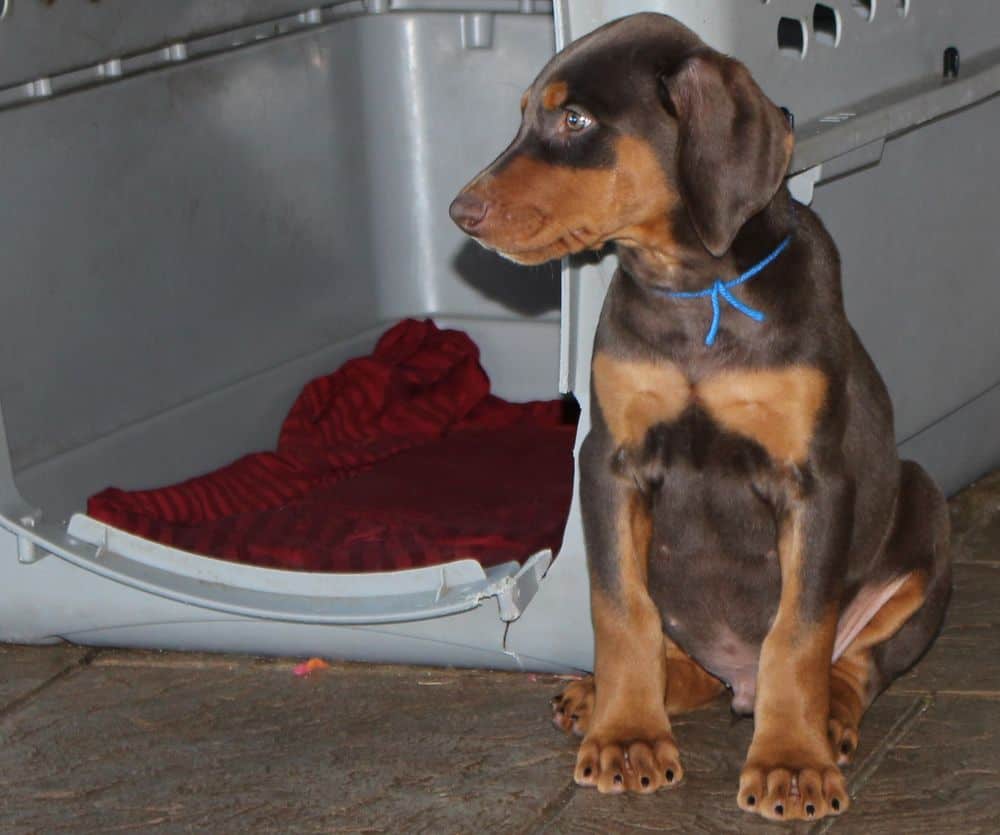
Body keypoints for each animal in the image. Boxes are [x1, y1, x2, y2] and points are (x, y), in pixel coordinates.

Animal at [450, 13, 948, 824]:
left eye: (575, 120)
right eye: (524, 113)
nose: (461, 213)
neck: (696, 290)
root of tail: (734, 681)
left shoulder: (815, 481)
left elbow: (798, 633)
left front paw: (792, 762)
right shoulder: (610, 461)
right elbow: (620, 610)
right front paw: (627, 736)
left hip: (925, 510)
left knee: (855, 661)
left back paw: (830, 720)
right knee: (679, 653)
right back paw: (608, 696)